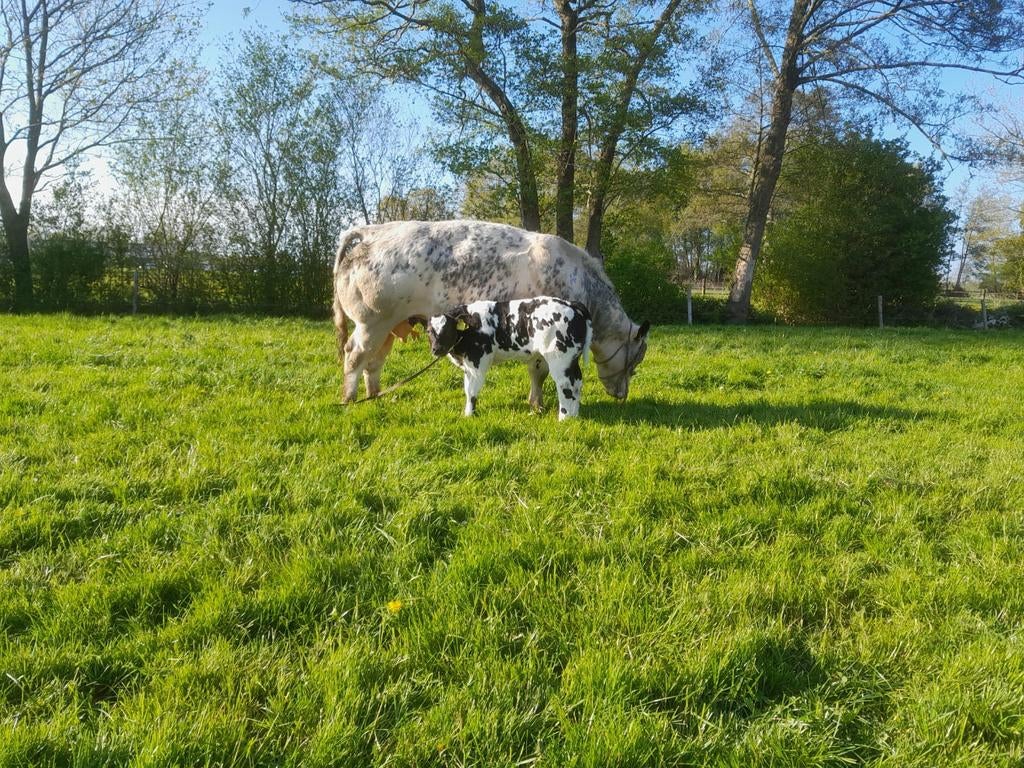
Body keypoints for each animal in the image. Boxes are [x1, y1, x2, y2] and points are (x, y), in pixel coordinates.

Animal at [332, 219, 650, 406]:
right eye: (635, 361)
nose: (622, 395)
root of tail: (370, 231)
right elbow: (539, 372)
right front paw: (537, 405)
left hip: (387, 326)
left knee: (374, 363)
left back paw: (374, 396)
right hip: (371, 322)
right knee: (354, 356)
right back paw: (349, 399)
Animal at [428, 297, 593, 420]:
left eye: (448, 329)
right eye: (429, 331)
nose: (436, 349)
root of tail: (571, 304)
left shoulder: (477, 364)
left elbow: (471, 391)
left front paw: (468, 416)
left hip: (559, 360)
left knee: (566, 385)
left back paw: (564, 418)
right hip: (572, 360)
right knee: (577, 382)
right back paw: (573, 416)